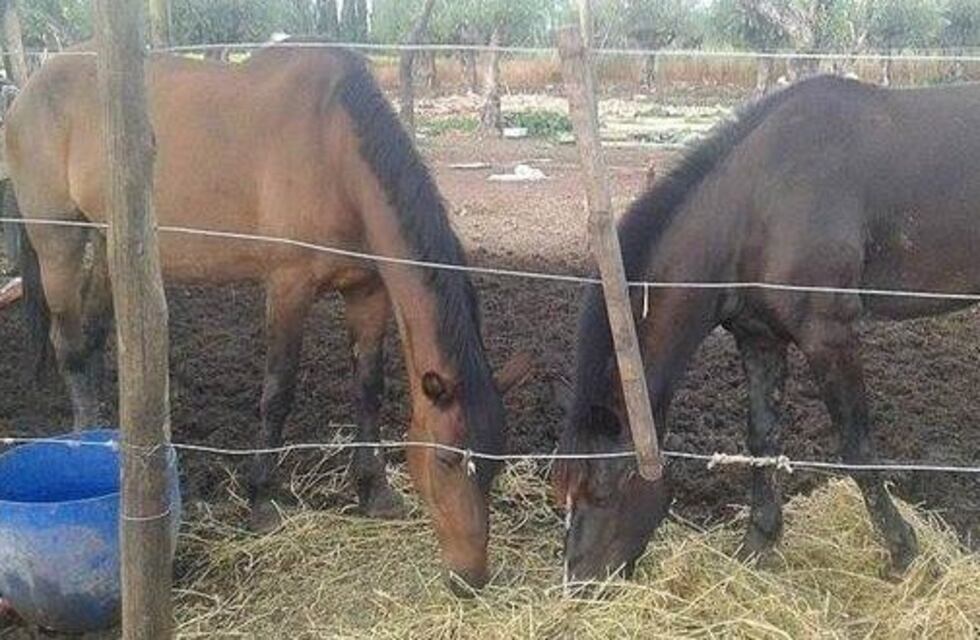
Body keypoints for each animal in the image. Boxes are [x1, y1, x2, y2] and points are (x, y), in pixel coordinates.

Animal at [4, 40, 531, 592]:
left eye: (496, 459)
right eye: (448, 459)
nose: (471, 576)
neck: (334, 147)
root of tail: (28, 90)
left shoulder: (367, 292)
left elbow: (368, 388)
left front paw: (374, 492)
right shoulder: (288, 287)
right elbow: (278, 393)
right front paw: (261, 500)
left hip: (115, 246)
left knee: (98, 337)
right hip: (58, 240)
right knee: (70, 346)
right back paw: (82, 441)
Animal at [556, 74, 980, 581]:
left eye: (605, 489)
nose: (579, 579)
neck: (760, 202)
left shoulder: (829, 335)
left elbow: (857, 448)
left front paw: (903, 552)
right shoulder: (758, 337)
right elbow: (761, 437)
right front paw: (758, 542)